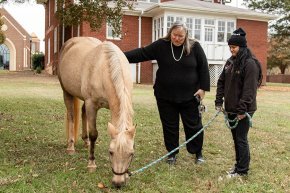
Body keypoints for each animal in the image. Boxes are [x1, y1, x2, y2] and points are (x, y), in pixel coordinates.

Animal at [58, 36, 137, 187]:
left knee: (82, 112)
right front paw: (91, 164)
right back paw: (71, 147)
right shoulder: (91, 104)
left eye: (131, 153)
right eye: (111, 152)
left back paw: (86, 141)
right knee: (71, 116)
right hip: (67, 93)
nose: (118, 183)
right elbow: (94, 133)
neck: (103, 69)